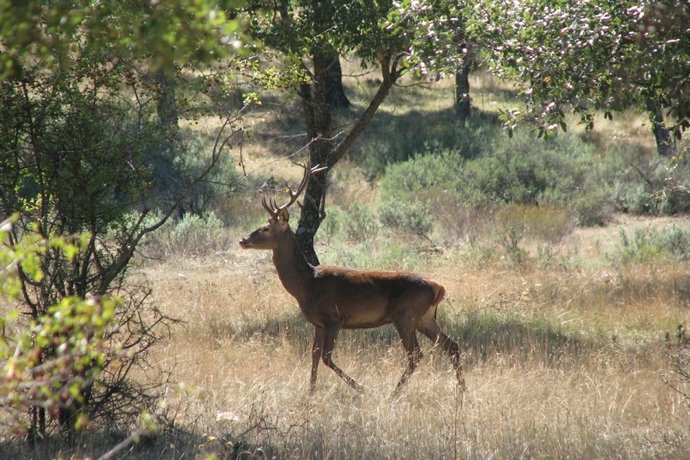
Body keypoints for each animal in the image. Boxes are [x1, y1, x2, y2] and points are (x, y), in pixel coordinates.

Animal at [239, 164, 465, 395]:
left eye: (266, 228)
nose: (243, 240)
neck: (306, 285)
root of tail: (439, 287)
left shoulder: (334, 318)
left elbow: (326, 357)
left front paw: (361, 388)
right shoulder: (318, 323)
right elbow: (314, 355)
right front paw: (310, 393)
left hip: (405, 315)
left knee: (416, 355)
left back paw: (393, 394)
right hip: (425, 318)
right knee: (452, 346)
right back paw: (461, 392)